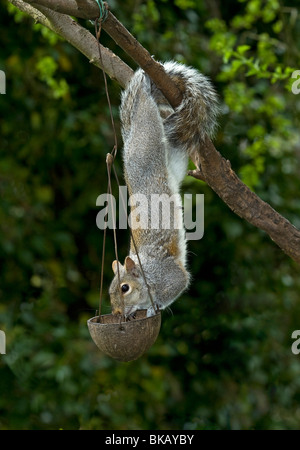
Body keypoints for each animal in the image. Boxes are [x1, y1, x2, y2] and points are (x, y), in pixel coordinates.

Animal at [109, 61, 219, 318]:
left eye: (125, 288)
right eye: (109, 291)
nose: (117, 314)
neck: (147, 272)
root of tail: (129, 140)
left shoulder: (170, 276)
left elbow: (179, 284)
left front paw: (152, 307)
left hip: (148, 133)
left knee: (145, 108)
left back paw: (144, 90)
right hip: (174, 157)